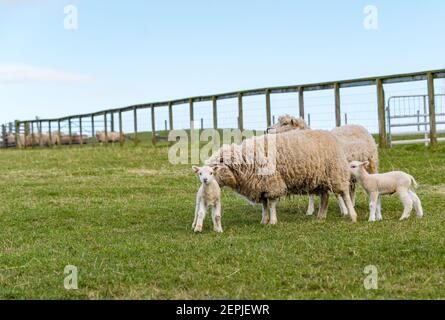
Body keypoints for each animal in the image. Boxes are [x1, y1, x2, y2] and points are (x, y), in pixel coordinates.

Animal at [206, 129, 358, 224]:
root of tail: (330, 136)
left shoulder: (272, 183)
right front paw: (264, 221)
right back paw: (321, 217)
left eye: (214, 169)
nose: (205, 182)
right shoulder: (261, 186)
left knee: (345, 194)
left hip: (336, 173)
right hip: (320, 180)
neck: (247, 160)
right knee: (325, 197)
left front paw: (273, 221)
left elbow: (271, 204)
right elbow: (264, 206)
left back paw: (352, 216)